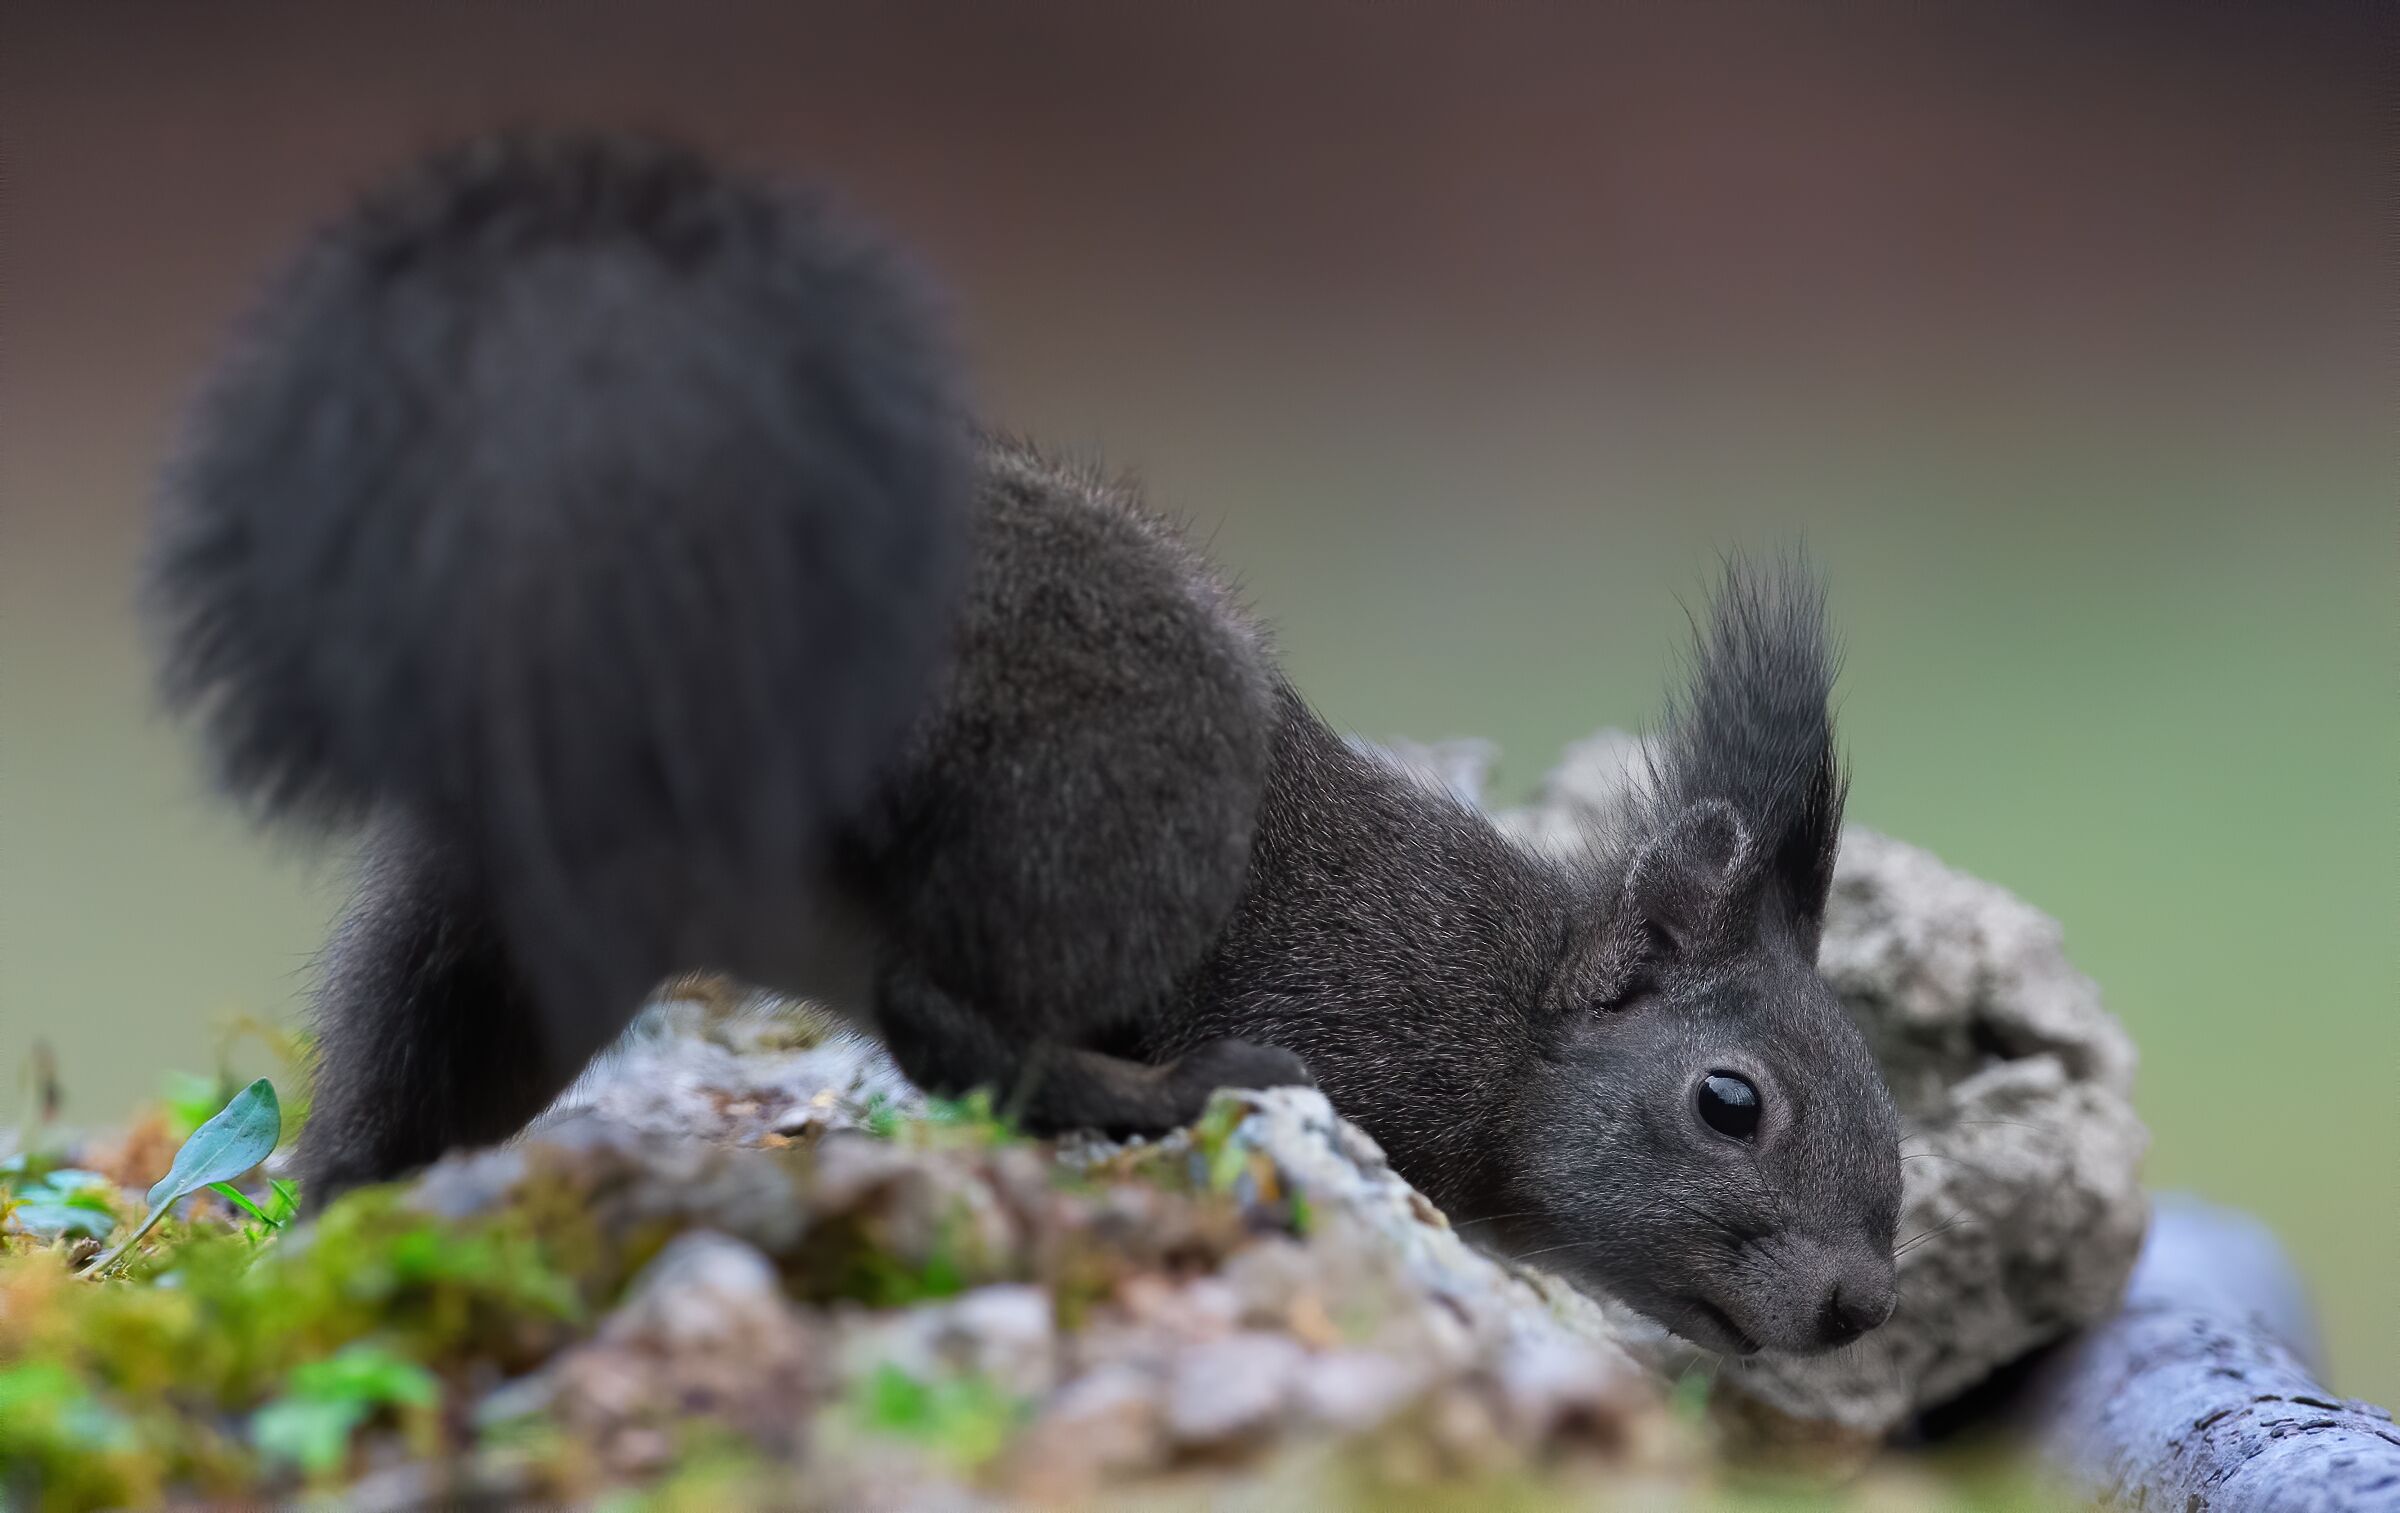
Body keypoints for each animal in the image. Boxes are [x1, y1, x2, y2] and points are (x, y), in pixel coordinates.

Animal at [145, 131, 1903, 1358]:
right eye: (1730, 1102)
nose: (1862, 1310)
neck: (1508, 1009)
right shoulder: (1340, 997)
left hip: (503, 913)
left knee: (399, 1069)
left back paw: (342, 1213)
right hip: (1075, 818)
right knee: (948, 1020)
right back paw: (1166, 1091)